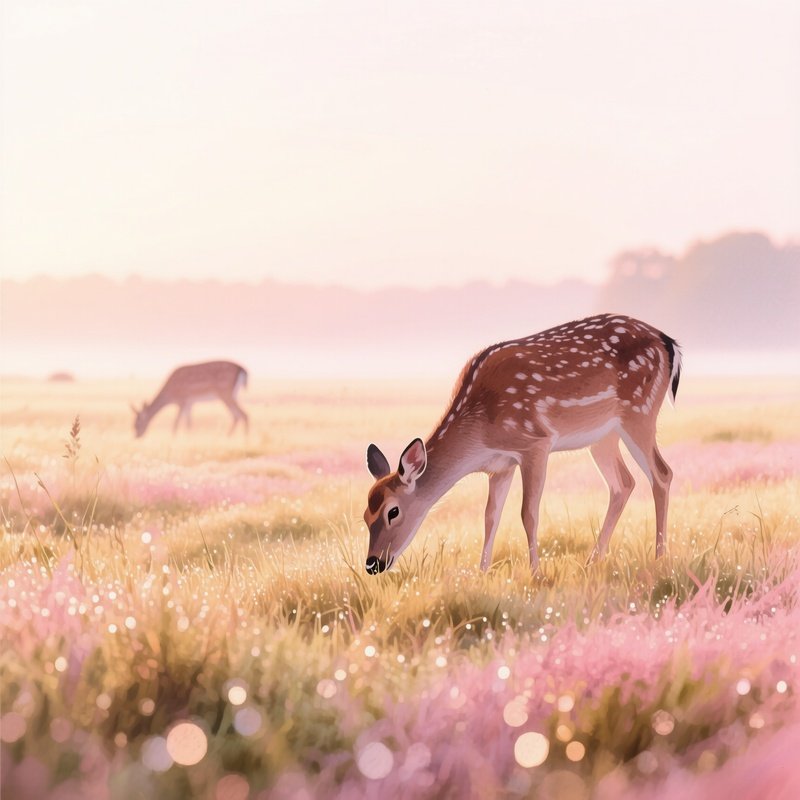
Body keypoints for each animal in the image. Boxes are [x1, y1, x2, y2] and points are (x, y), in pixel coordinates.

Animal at [363, 314, 681, 575]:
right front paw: (481, 573)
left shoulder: (536, 442)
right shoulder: (500, 465)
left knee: (662, 473)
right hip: (603, 436)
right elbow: (490, 517)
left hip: (639, 411)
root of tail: (668, 342)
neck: (480, 431)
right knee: (623, 483)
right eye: (365, 515)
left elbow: (528, 513)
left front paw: (535, 573)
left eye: (393, 511)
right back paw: (593, 561)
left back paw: (659, 559)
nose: (372, 564)